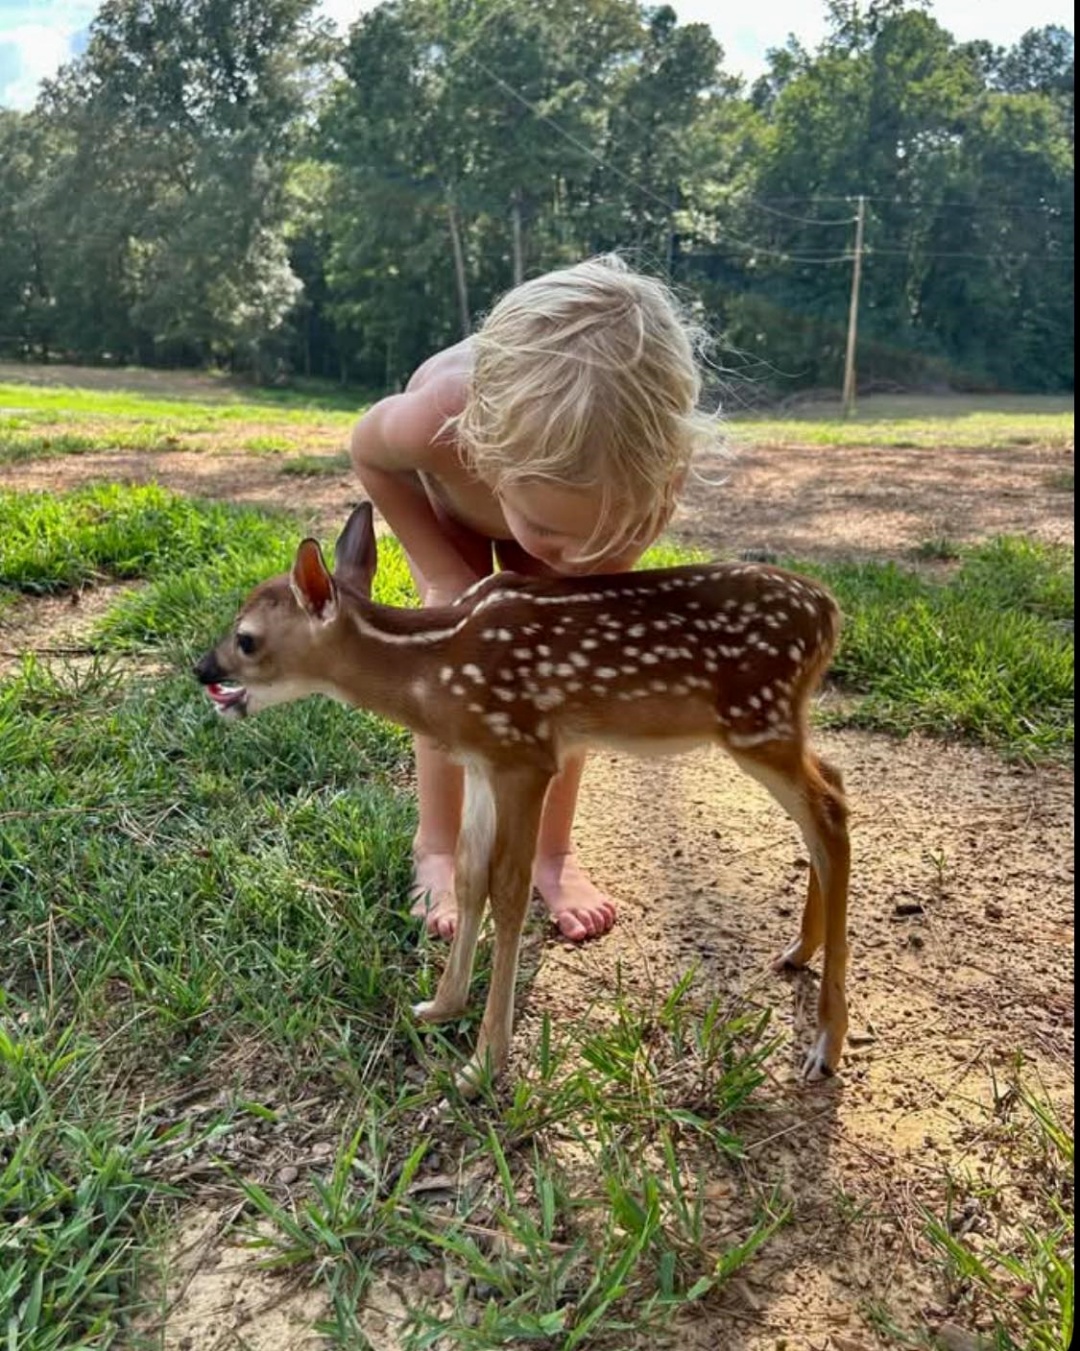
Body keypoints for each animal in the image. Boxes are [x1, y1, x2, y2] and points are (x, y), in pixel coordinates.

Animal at [194, 501, 851, 1095]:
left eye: (246, 640)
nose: (203, 670)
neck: (435, 672)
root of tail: (830, 611)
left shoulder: (525, 753)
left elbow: (510, 892)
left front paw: (482, 1066)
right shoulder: (483, 762)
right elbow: (468, 877)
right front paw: (440, 1006)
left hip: (756, 718)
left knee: (829, 812)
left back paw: (825, 1042)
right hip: (773, 722)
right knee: (831, 790)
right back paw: (798, 953)